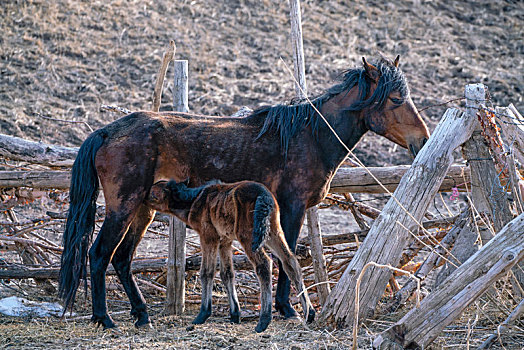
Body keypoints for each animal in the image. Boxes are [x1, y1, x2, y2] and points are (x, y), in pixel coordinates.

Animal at [144, 179, 316, 332]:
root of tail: (264, 196)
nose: (142, 200)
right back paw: (309, 313)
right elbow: (227, 273)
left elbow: (207, 272)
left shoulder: (209, 236)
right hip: (273, 230)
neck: (193, 201)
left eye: (153, 193)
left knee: (264, 264)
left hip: (247, 234)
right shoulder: (225, 240)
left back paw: (264, 320)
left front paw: (203, 314)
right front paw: (235, 314)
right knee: (290, 261)